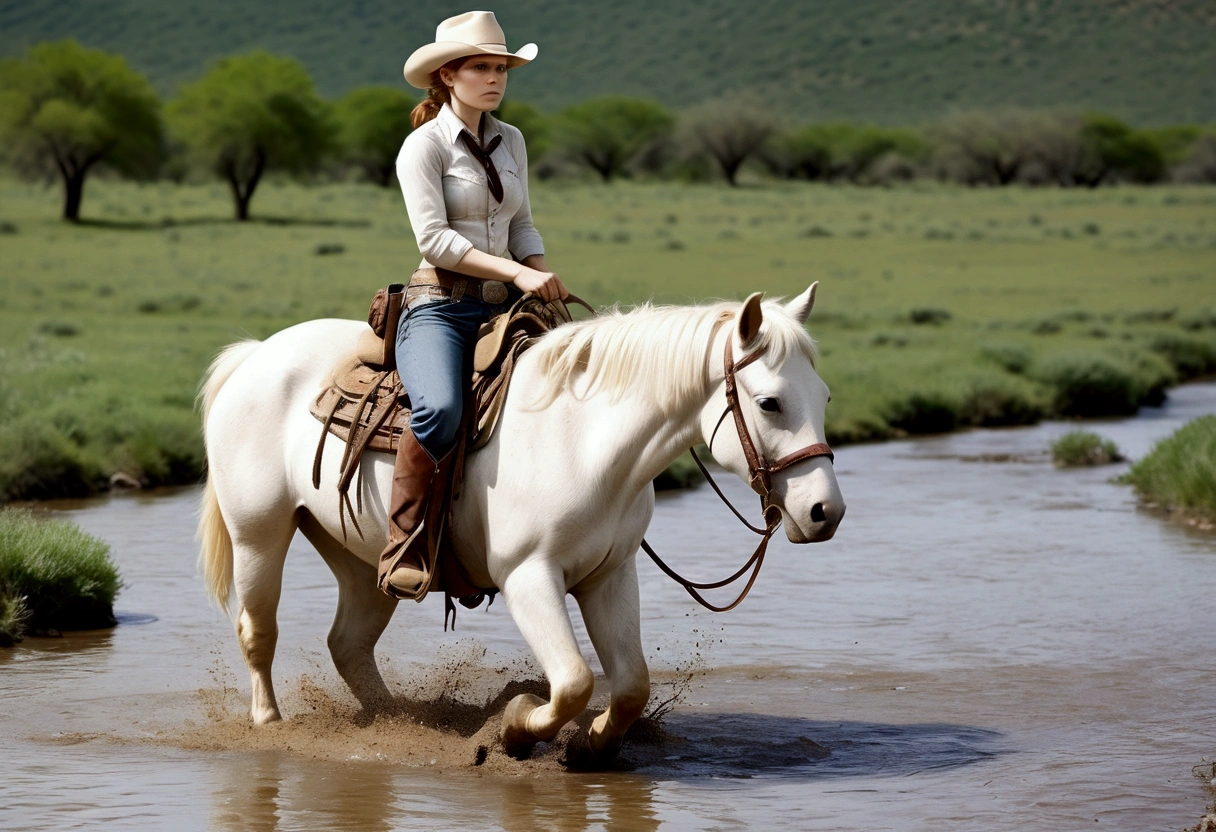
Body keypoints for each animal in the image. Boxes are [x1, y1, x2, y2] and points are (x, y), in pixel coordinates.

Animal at [199, 285, 846, 759]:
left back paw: (395, 723)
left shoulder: (610, 576)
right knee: (258, 631)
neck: (584, 441)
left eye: (825, 396)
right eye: (769, 402)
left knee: (348, 644)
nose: (826, 512)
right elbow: (573, 681)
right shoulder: (528, 578)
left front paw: (593, 745)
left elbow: (631, 685)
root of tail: (254, 355)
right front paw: (514, 726)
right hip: (259, 534)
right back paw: (270, 722)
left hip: (364, 563)